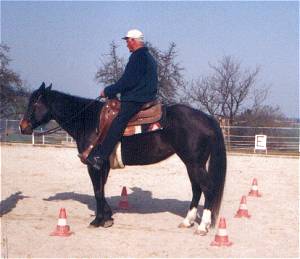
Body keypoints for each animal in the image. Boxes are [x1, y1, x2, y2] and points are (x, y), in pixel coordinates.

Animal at [19, 83, 227, 236]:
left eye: (34, 104)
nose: (23, 126)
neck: (89, 120)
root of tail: (208, 118)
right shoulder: (103, 165)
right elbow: (101, 189)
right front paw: (107, 217)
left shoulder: (94, 164)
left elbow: (97, 190)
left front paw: (98, 220)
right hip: (192, 164)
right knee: (197, 189)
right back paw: (187, 221)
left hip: (195, 163)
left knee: (208, 189)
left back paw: (202, 226)